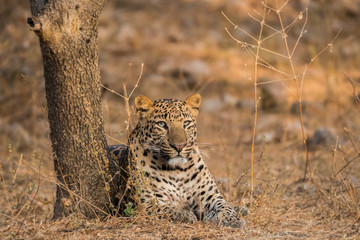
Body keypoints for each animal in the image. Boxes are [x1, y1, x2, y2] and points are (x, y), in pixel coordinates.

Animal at [109, 94, 245, 229]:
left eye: (186, 123)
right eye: (162, 124)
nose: (179, 146)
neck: (177, 170)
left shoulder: (211, 196)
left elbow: (225, 206)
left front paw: (233, 220)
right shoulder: (144, 204)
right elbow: (165, 208)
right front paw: (186, 214)